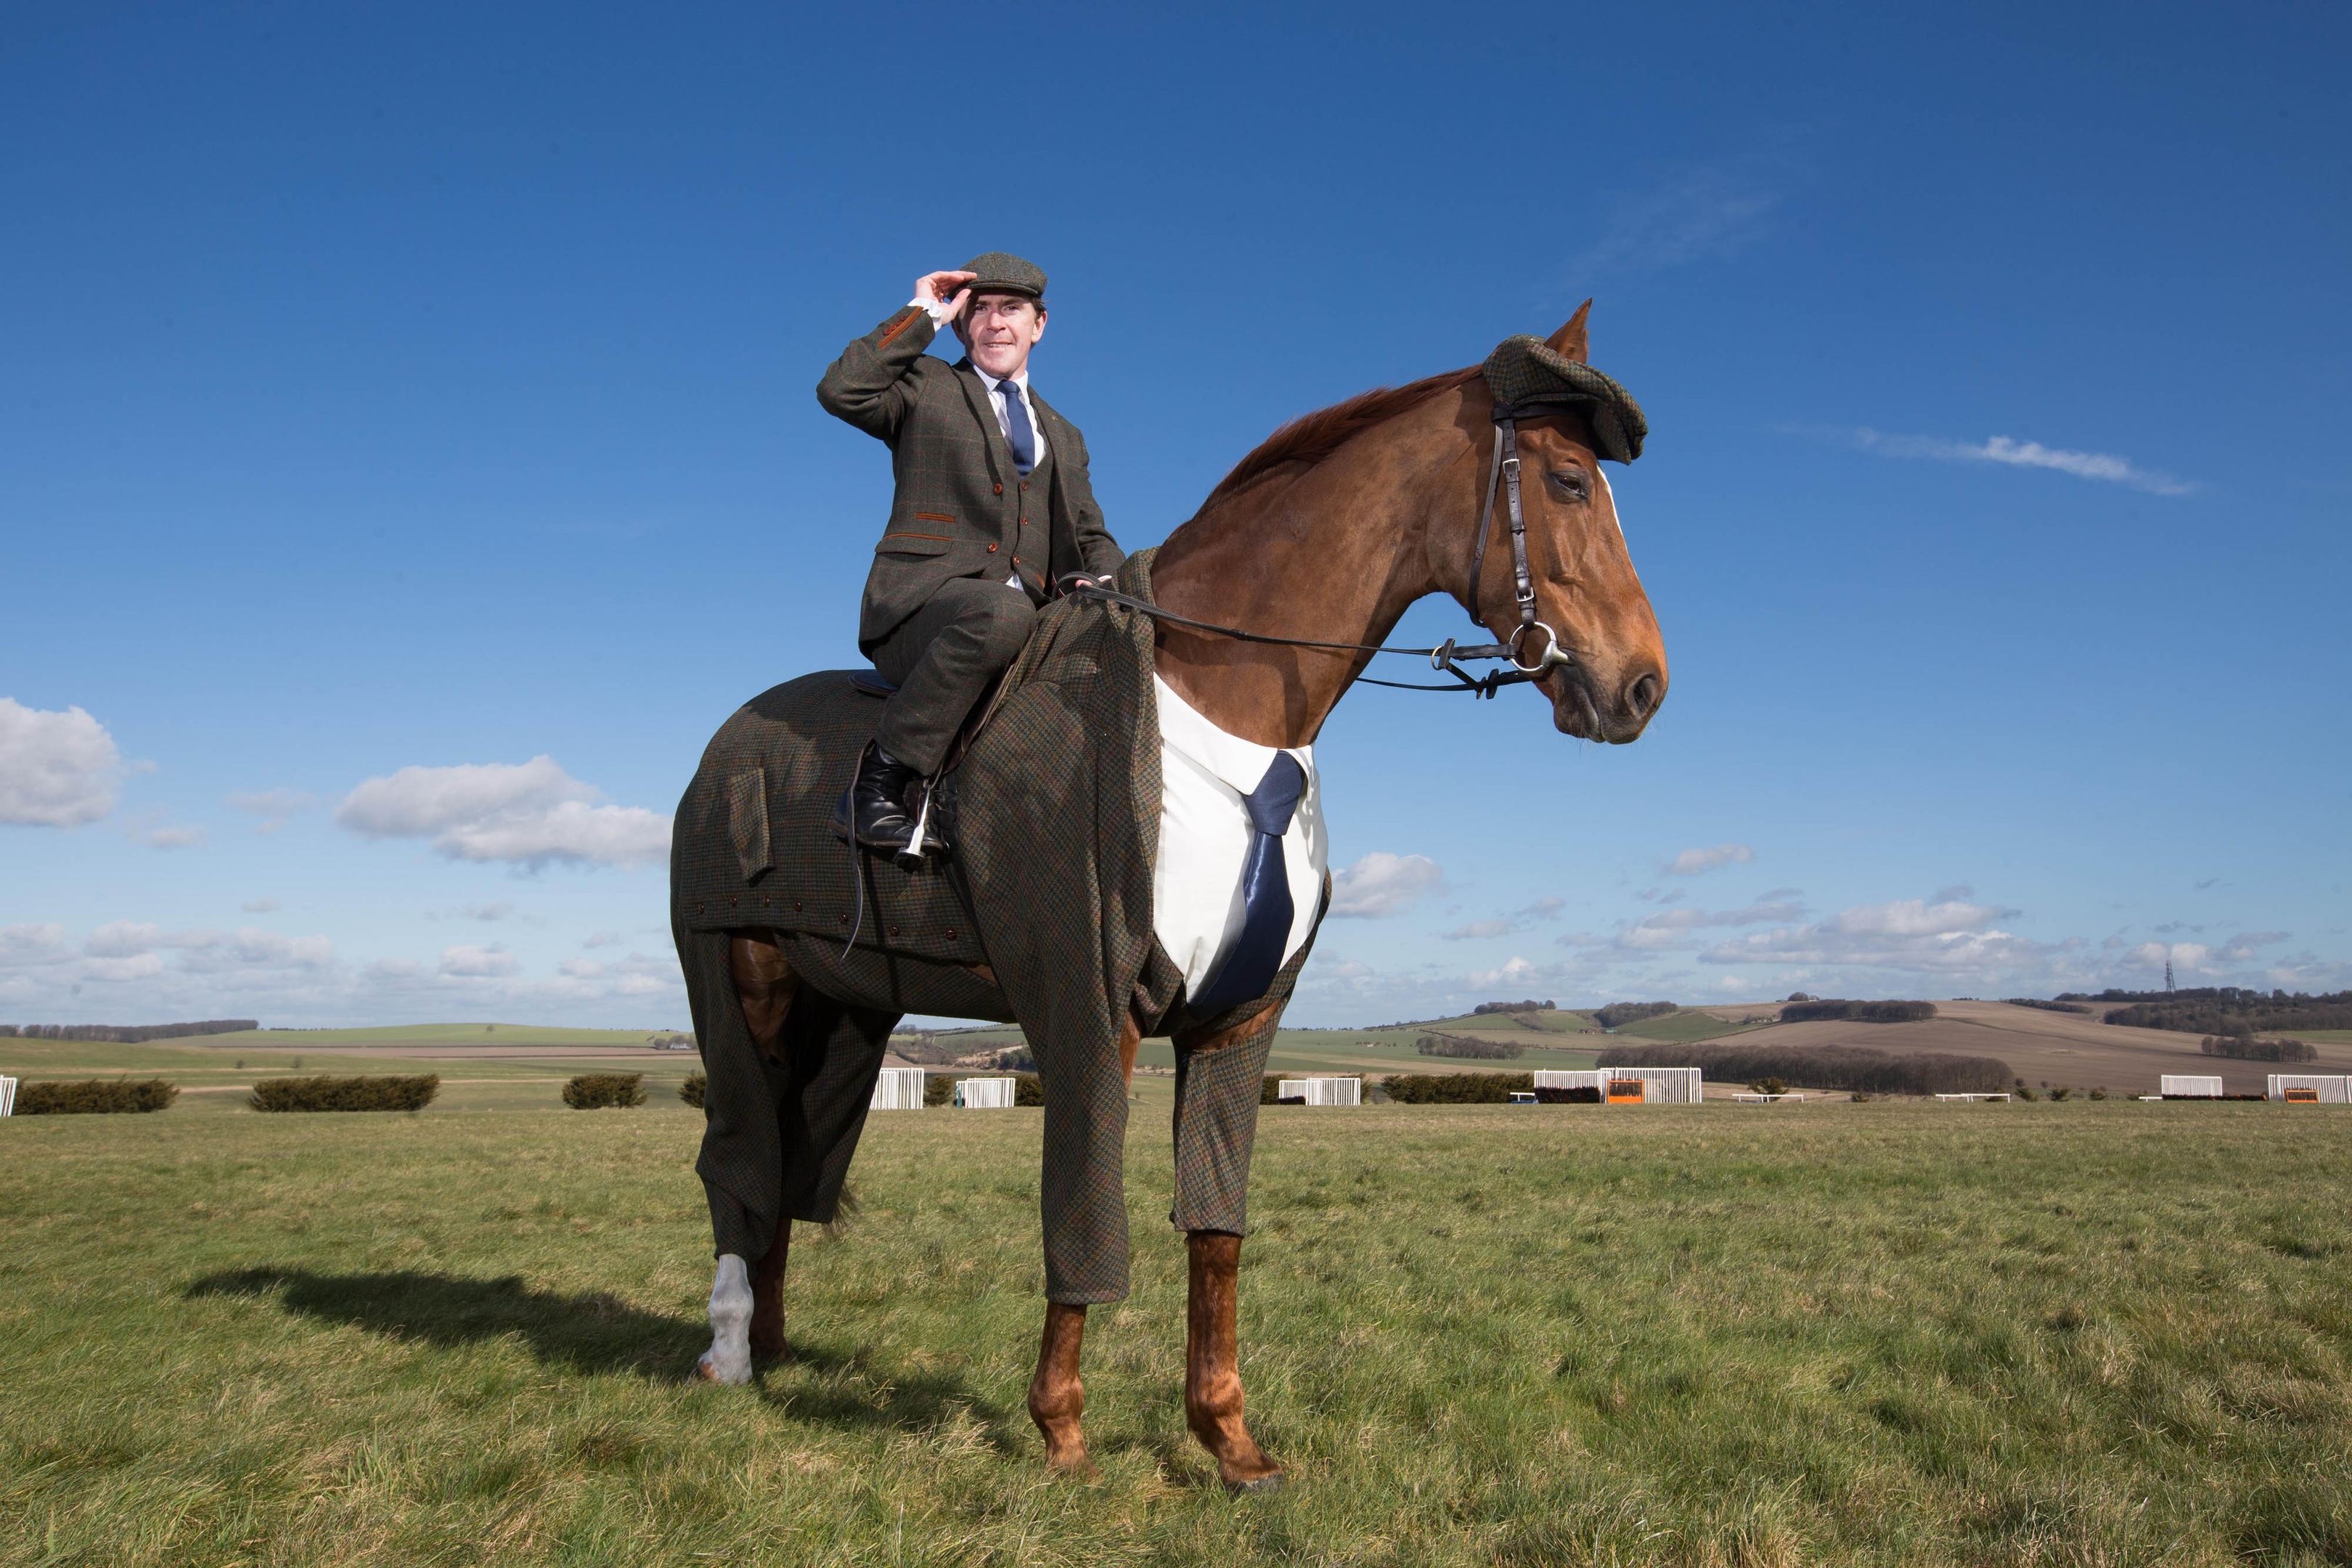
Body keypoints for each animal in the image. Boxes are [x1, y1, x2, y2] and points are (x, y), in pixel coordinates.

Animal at [701, 301, 1674, 1495]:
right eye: (1572, 481)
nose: (1643, 686)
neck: (1224, 703)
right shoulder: (1092, 1006)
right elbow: (1085, 1213)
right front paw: (1062, 1427)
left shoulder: (1238, 1023)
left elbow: (1216, 1233)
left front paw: (1229, 1438)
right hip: (740, 980)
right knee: (740, 1156)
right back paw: (729, 1352)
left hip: (844, 1006)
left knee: (791, 1160)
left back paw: (775, 1348)